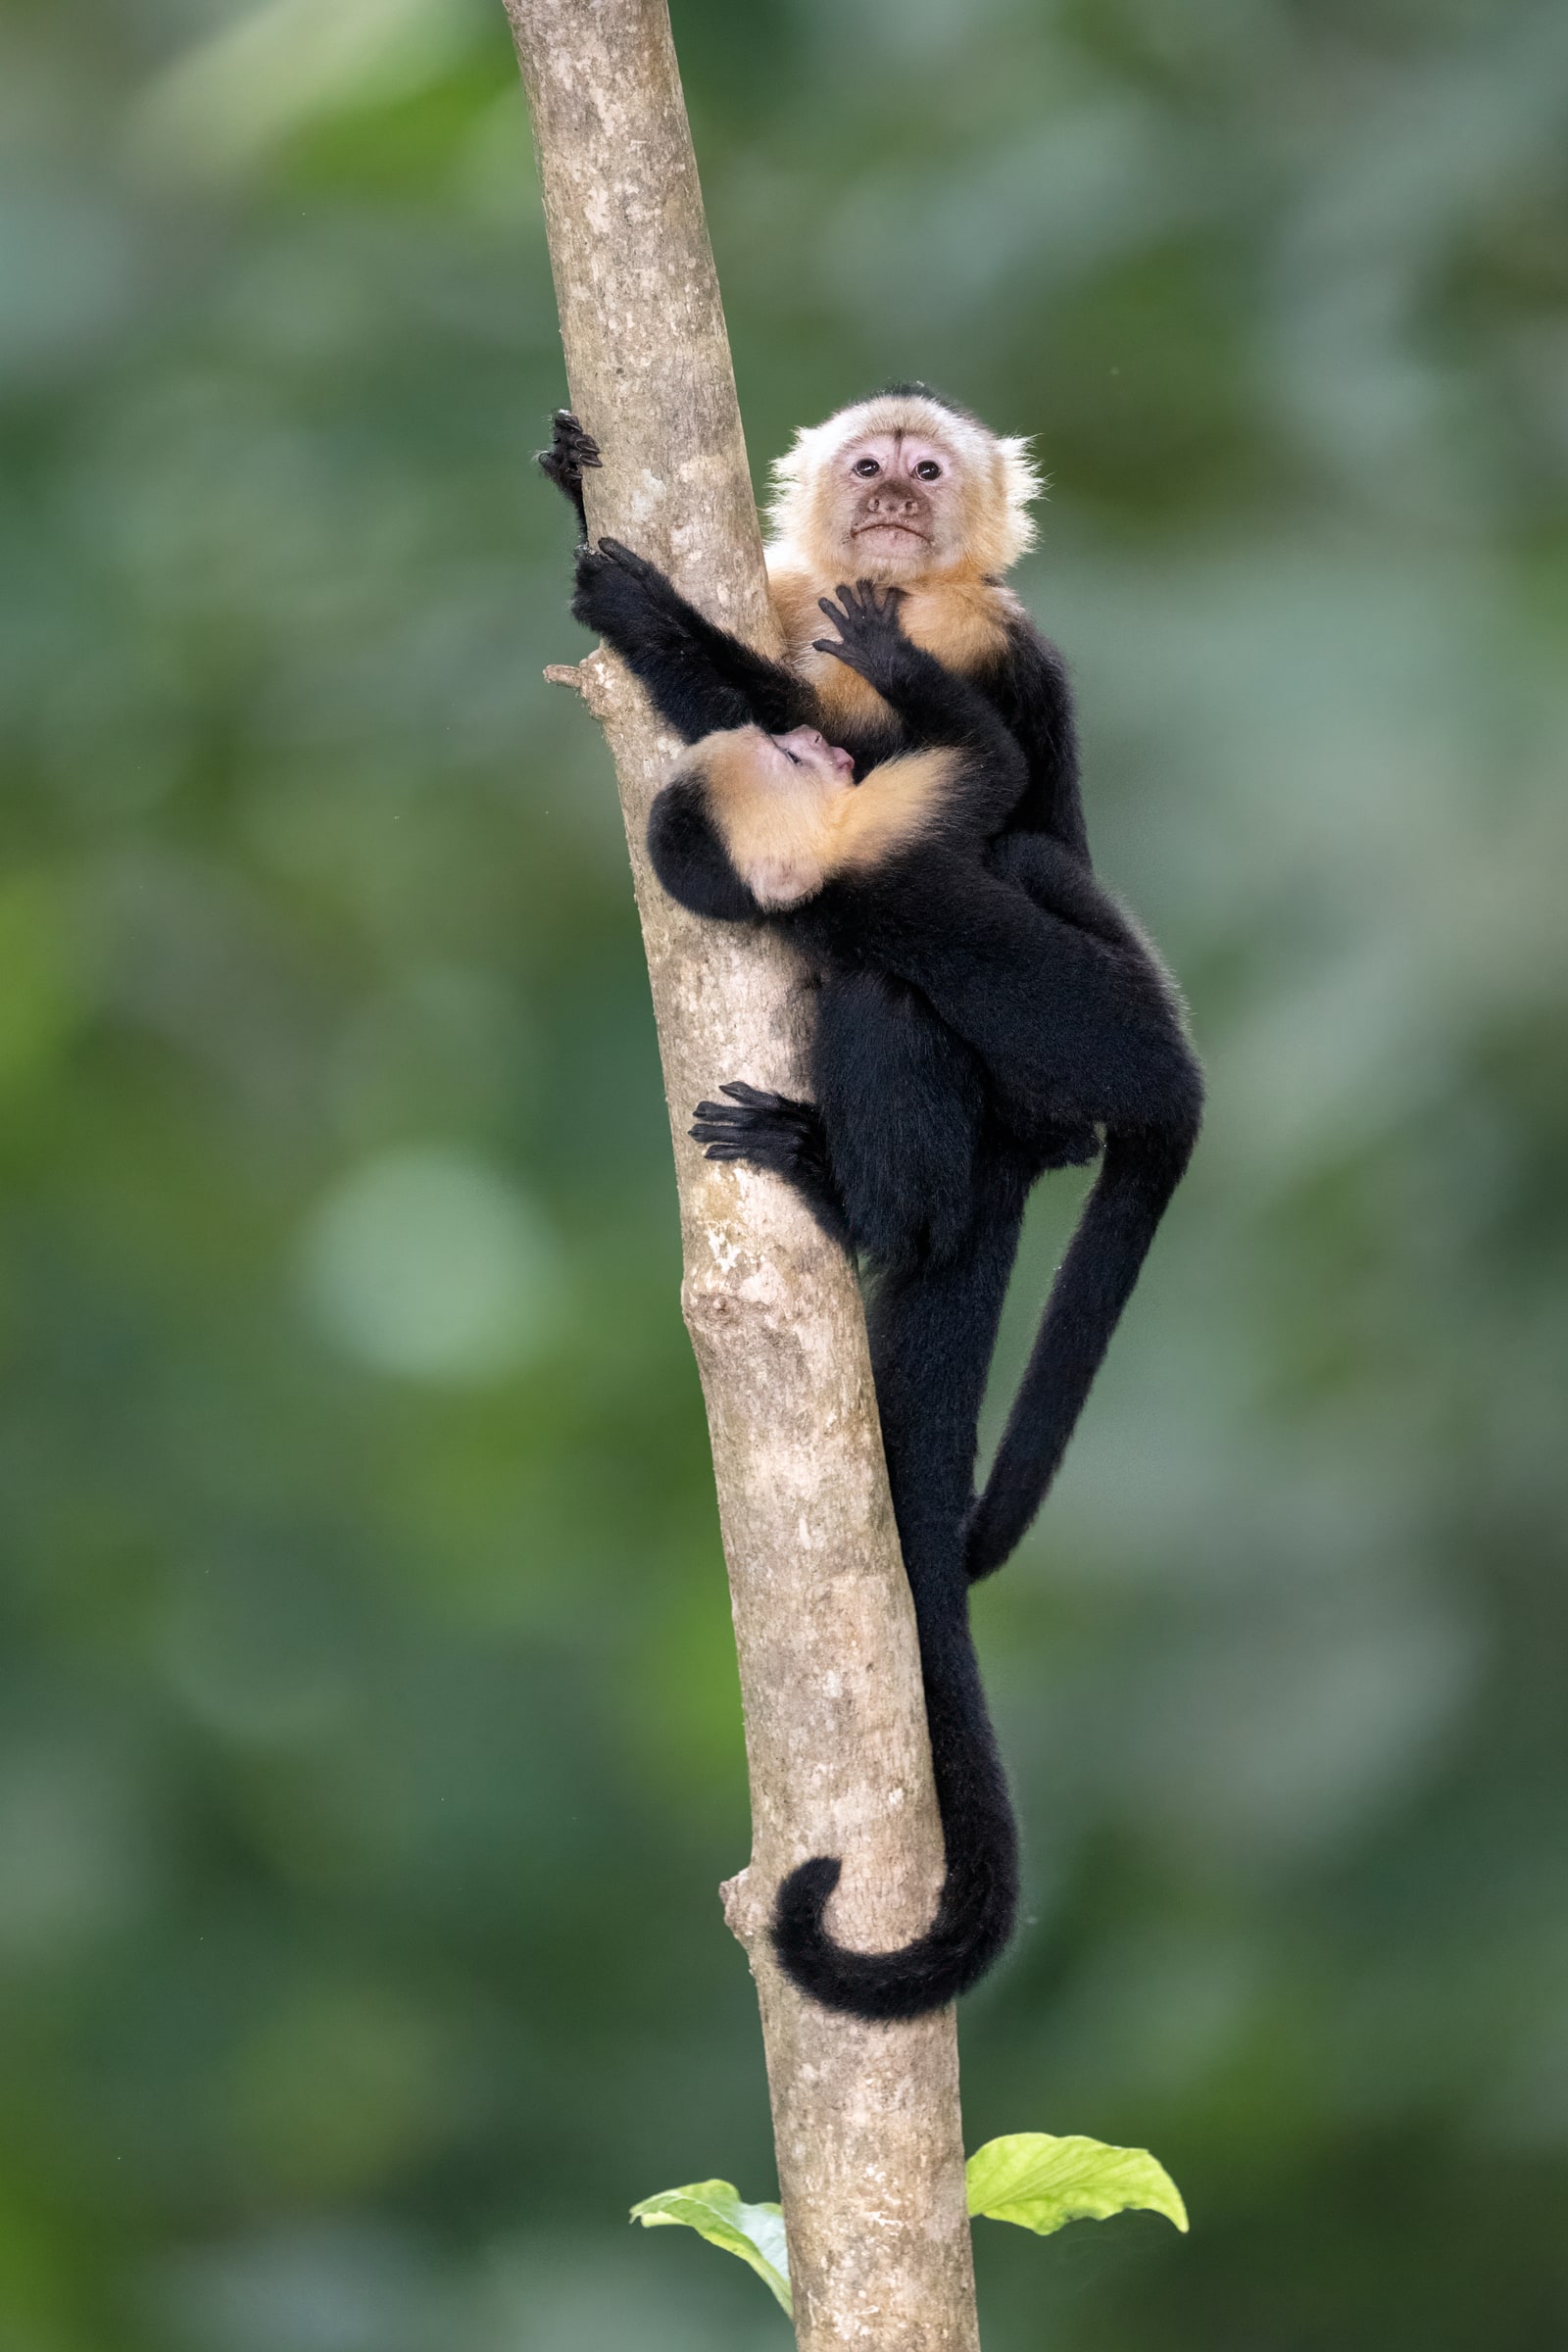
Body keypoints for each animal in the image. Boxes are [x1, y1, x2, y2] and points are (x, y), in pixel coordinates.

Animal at [643, 578, 1202, 2020]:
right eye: (792, 768)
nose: (814, 750)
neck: (833, 869)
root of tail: (1178, 1103)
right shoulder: (878, 831)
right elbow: (984, 779)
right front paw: (882, 663)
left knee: (1030, 874)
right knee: (890, 1006)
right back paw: (867, 1196)